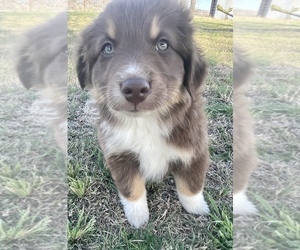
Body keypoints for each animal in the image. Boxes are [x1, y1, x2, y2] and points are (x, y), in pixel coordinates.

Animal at [76, 0, 210, 228]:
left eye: (163, 44)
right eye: (107, 48)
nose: (135, 88)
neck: (145, 121)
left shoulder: (194, 148)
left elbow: (191, 184)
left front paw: (197, 208)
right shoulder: (119, 153)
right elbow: (131, 188)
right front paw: (138, 217)